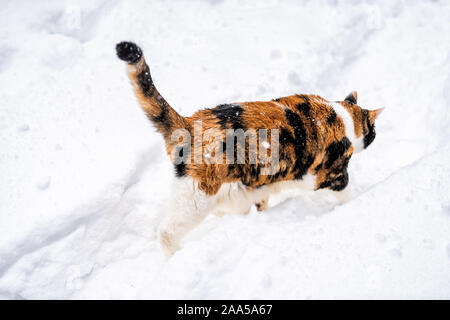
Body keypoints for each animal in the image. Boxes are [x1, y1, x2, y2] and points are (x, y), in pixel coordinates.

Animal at [116, 41, 384, 256]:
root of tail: (189, 122)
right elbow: (346, 194)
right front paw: (356, 201)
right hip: (197, 197)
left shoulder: (258, 185)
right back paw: (175, 256)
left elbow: (259, 201)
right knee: (167, 232)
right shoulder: (332, 173)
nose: (373, 136)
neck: (341, 116)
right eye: (373, 131)